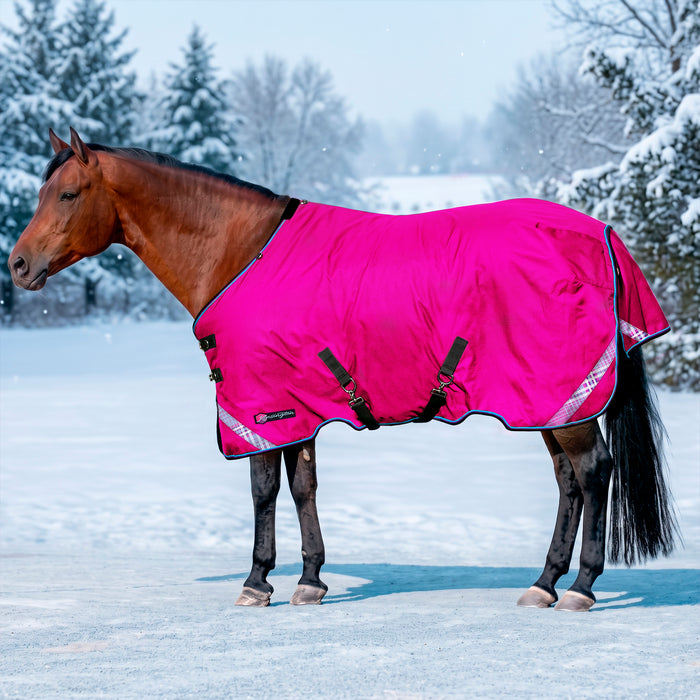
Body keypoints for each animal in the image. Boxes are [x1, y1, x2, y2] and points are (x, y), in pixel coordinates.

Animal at [8, 128, 678, 611]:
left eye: (67, 194)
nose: (17, 264)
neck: (241, 253)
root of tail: (601, 235)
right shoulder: (297, 407)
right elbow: (302, 486)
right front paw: (309, 579)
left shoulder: (258, 406)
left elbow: (262, 490)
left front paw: (256, 582)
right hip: (548, 401)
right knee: (569, 482)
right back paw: (543, 583)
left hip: (563, 398)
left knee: (593, 473)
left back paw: (581, 588)